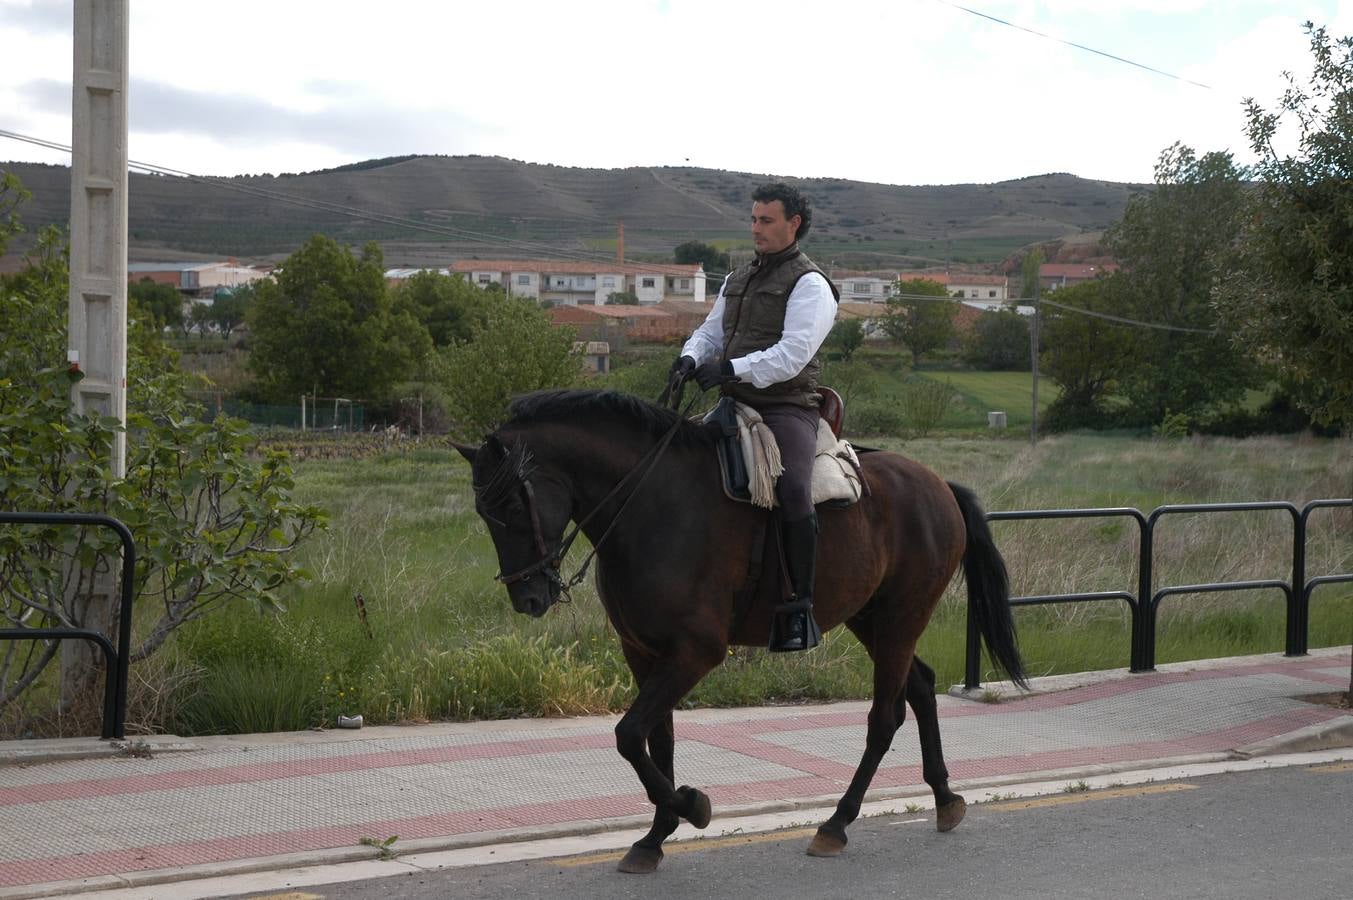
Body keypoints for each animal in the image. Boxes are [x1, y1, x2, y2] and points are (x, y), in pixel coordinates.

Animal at [454, 389, 1022, 871]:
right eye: (482, 510)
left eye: (511, 504)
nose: (528, 597)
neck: (650, 503)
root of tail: (938, 485)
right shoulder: (643, 651)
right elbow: (656, 740)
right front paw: (655, 837)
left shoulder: (695, 651)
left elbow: (629, 734)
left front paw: (691, 806)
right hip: (873, 620)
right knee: (921, 687)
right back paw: (944, 798)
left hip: (902, 616)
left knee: (885, 717)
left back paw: (837, 823)